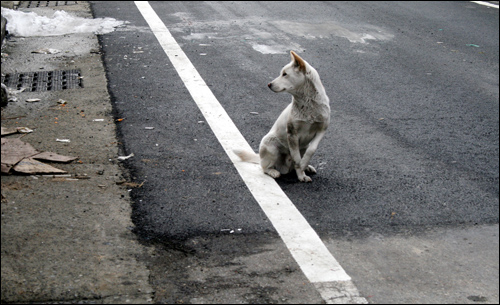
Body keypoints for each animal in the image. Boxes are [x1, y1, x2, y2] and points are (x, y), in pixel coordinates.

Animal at [235, 51, 330, 182]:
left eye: (285, 74)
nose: (269, 84)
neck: (308, 104)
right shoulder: (292, 133)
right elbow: (296, 158)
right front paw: (301, 174)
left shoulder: (322, 130)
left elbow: (312, 150)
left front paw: (304, 165)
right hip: (271, 146)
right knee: (264, 168)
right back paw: (274, 172)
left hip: (303, 146)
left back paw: (307, 167)